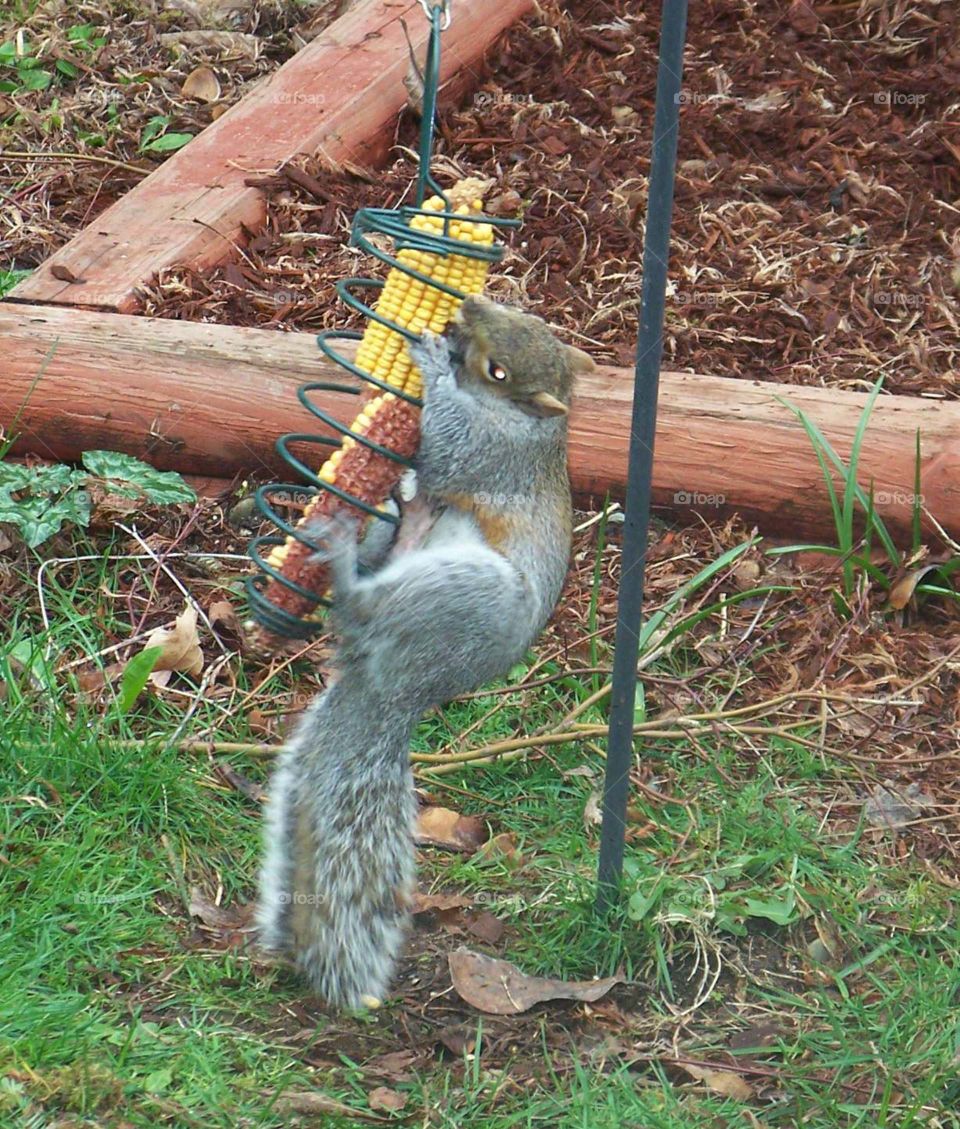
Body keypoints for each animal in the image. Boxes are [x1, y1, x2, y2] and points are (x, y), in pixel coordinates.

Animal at [258, 295, 596, 1011]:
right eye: (520, 312)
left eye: (499, 371)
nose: (465, 306)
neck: (530, 423)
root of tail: (394, 689)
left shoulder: (489, 454)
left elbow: (447, 443)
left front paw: (428, 358)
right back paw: (369, 520)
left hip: (461, 594)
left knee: (360, 606)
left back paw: (341, 558)